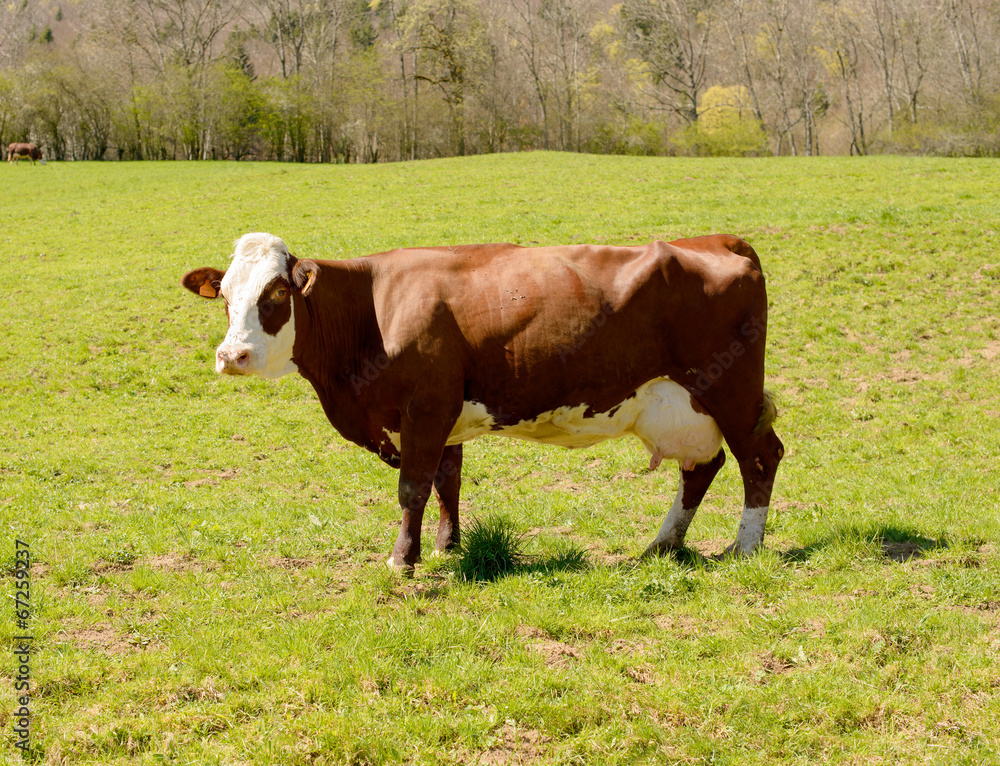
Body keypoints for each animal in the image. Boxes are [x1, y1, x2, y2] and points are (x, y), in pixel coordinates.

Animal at [184, 232, 784, 568]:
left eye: (276, 293)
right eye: (226, 296)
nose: (232, 355)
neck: (372, 308)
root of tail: (719, 240)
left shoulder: (425, 408)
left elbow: (413, 488)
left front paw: (402, 560)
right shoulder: (440, 415)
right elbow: (447, 481)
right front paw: (447, 545)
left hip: (731, 392)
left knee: (759, 457)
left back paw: (745, 547)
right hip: (682, 407)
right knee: (702, 467)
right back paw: (663, 545)